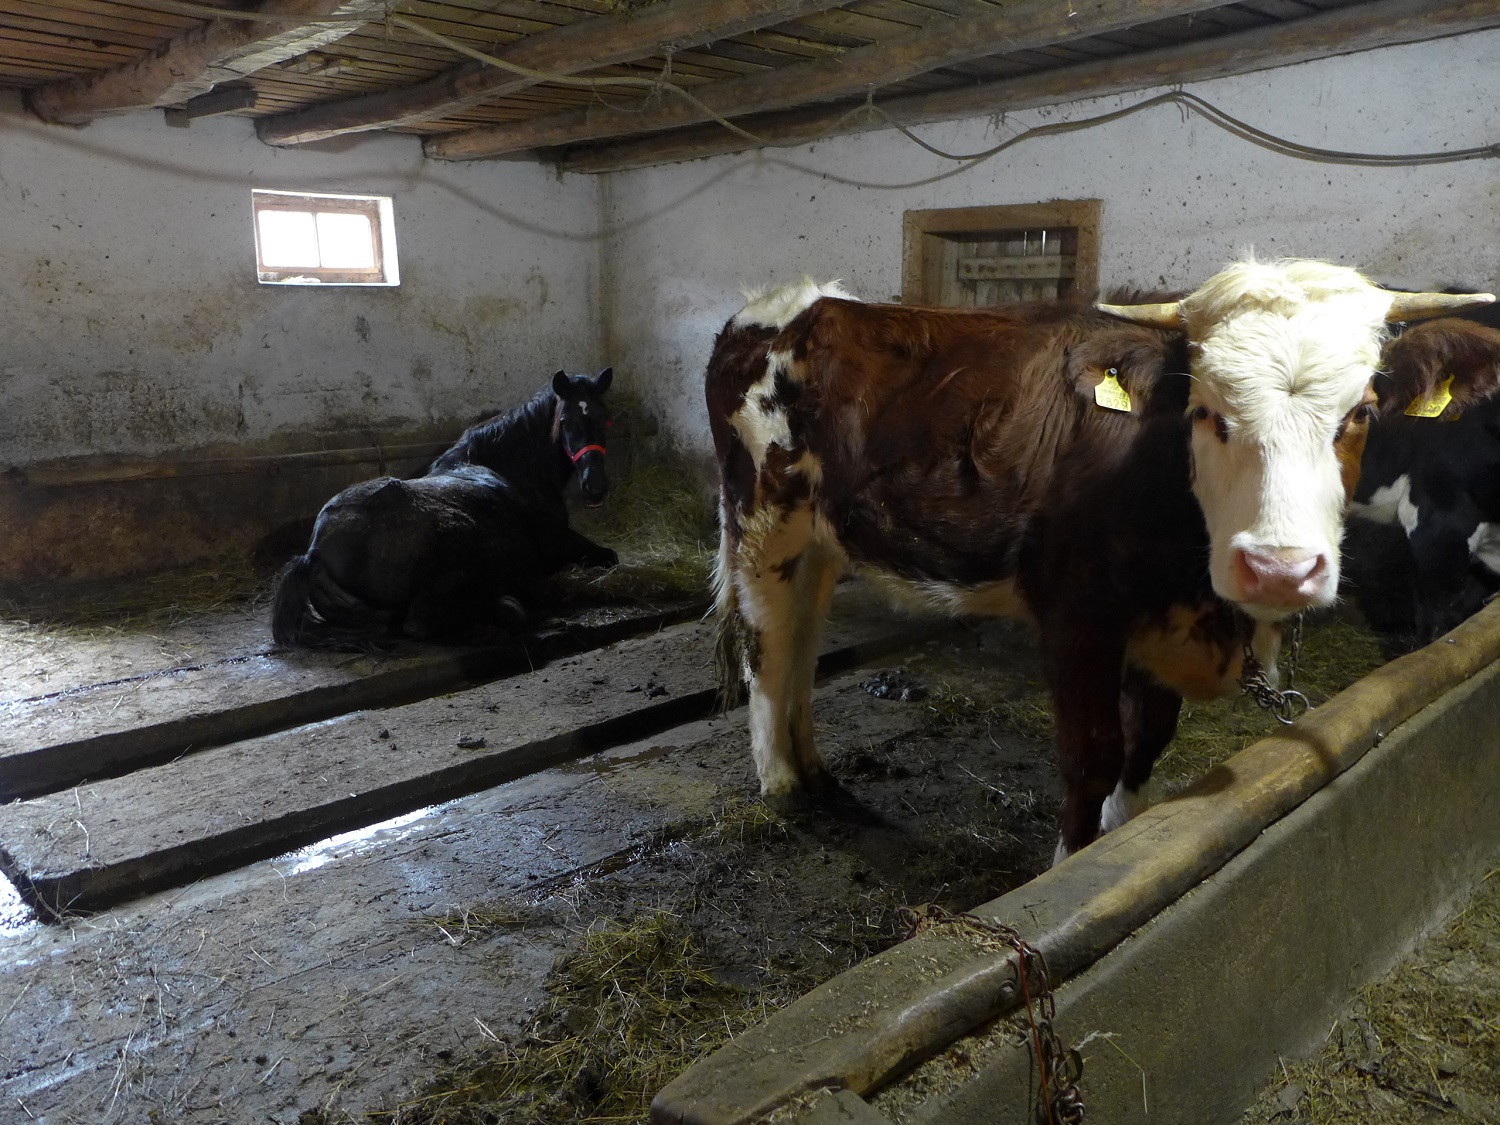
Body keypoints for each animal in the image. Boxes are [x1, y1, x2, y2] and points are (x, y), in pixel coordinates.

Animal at [273, 370, 618, 651]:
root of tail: (316, 551)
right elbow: (609, 556)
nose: (595, 487)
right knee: (425, 621)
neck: (511, 469)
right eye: (565, 421)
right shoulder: (560, 542)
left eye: (604, 417)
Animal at [705, 262, 1500, 864]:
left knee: (803, 641)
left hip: (822, 539)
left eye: (1361, 412)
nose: (1278, 569)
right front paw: (1068, 866)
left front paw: (1126, 831)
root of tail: (796, 303)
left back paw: (814, 770)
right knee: (768, 644)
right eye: (1205, 409)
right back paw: (782, 784)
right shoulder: (1077, 614)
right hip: (762, 518)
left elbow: (1147, 742)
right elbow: (1091, 755)